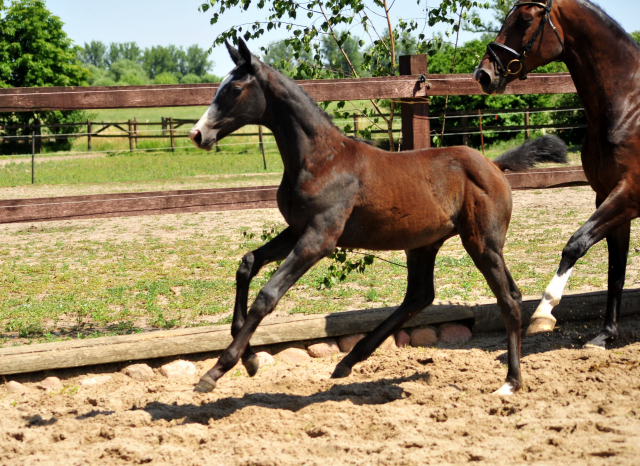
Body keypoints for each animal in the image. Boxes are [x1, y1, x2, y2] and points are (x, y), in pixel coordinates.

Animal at [189, 41, 564, 396]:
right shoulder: (297, 230)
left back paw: (511, 382)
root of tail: (495, 166)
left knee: (508, 299)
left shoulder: (319, 238)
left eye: (234, 89)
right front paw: (249, 358)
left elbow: (267, 295)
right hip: (423, 244)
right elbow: (247, 264)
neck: (321, 159)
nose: (198, 134)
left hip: (482, 242)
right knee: (420, 296)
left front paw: (217, 370)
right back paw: (348, 361)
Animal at [472, 0, 640, 350]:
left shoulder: (630, 193)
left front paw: (543, 312)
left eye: (524, 19)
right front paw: (605, 335)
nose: (483, 74)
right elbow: (616, 268)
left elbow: (576, 243)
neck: (629, 108)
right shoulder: (607, 195)